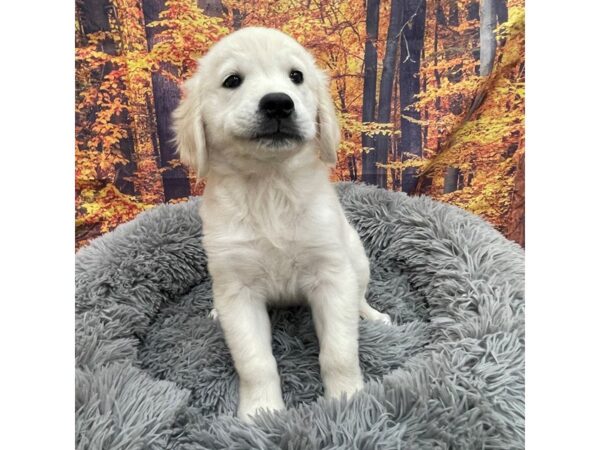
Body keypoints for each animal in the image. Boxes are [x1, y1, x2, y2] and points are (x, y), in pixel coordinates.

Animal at [171, 27, 392, 422]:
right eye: (232, 80)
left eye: (296, 76)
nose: (278, 103)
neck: (269, 184)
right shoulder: (238, 289)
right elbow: (255, 362)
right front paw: (261, 413)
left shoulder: (331, 275)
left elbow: (339, 352)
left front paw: (346, 401)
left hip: (357, 257)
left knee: (360, 296)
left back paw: (373, 315)